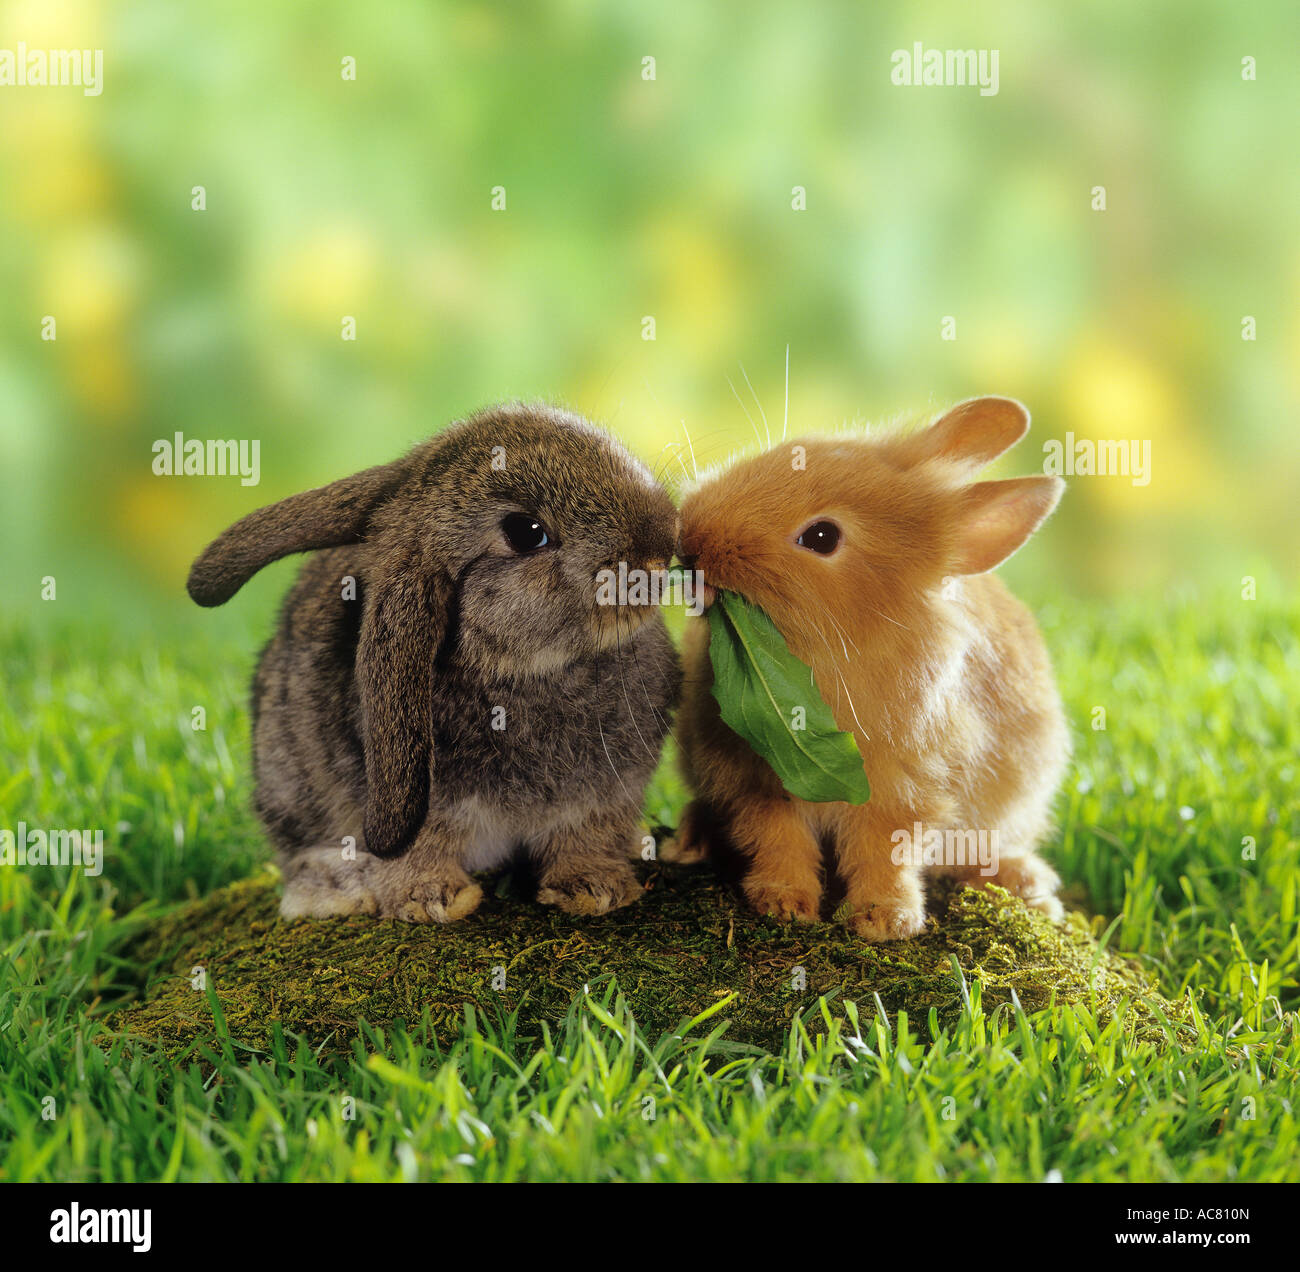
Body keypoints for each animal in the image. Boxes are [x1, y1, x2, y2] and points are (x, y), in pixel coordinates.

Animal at [187, 402, 681, 923]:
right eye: (527, 533)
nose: (661, 545)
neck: (528, 669)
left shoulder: (604, 798)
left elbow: (586, 837)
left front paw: (595, 889)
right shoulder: (410, 800)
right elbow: (419, 847)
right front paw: (432, 900)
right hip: (286, 777)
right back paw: (331, 890)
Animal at [672, 396, 1069, 942]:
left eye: (822, 536)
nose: (690, 538)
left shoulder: (904, 794)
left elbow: (886, 855)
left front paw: (884, 920)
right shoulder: (755, 784)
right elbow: (777, 840)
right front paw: (783, 903)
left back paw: (1026, 881)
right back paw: (688, 842)